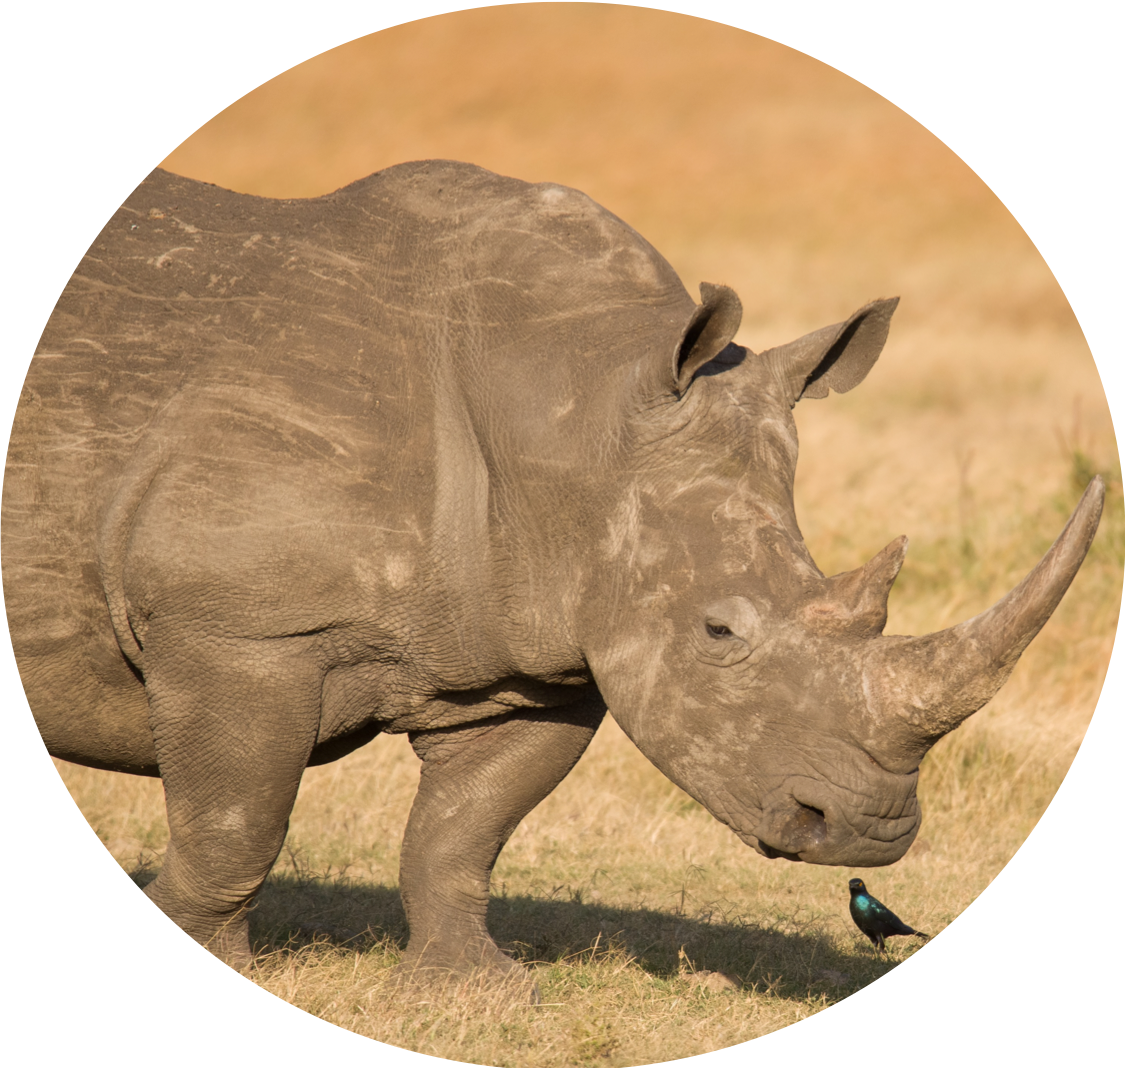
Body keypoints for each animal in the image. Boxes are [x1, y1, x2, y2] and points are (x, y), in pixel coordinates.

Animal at [5, 161, 1102, 986]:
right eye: (719, 633)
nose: (868, 830)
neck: (575, 407)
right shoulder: (237, 627)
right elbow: (235, 826)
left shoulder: (542, 651)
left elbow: (461, 834)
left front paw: (472, 988)